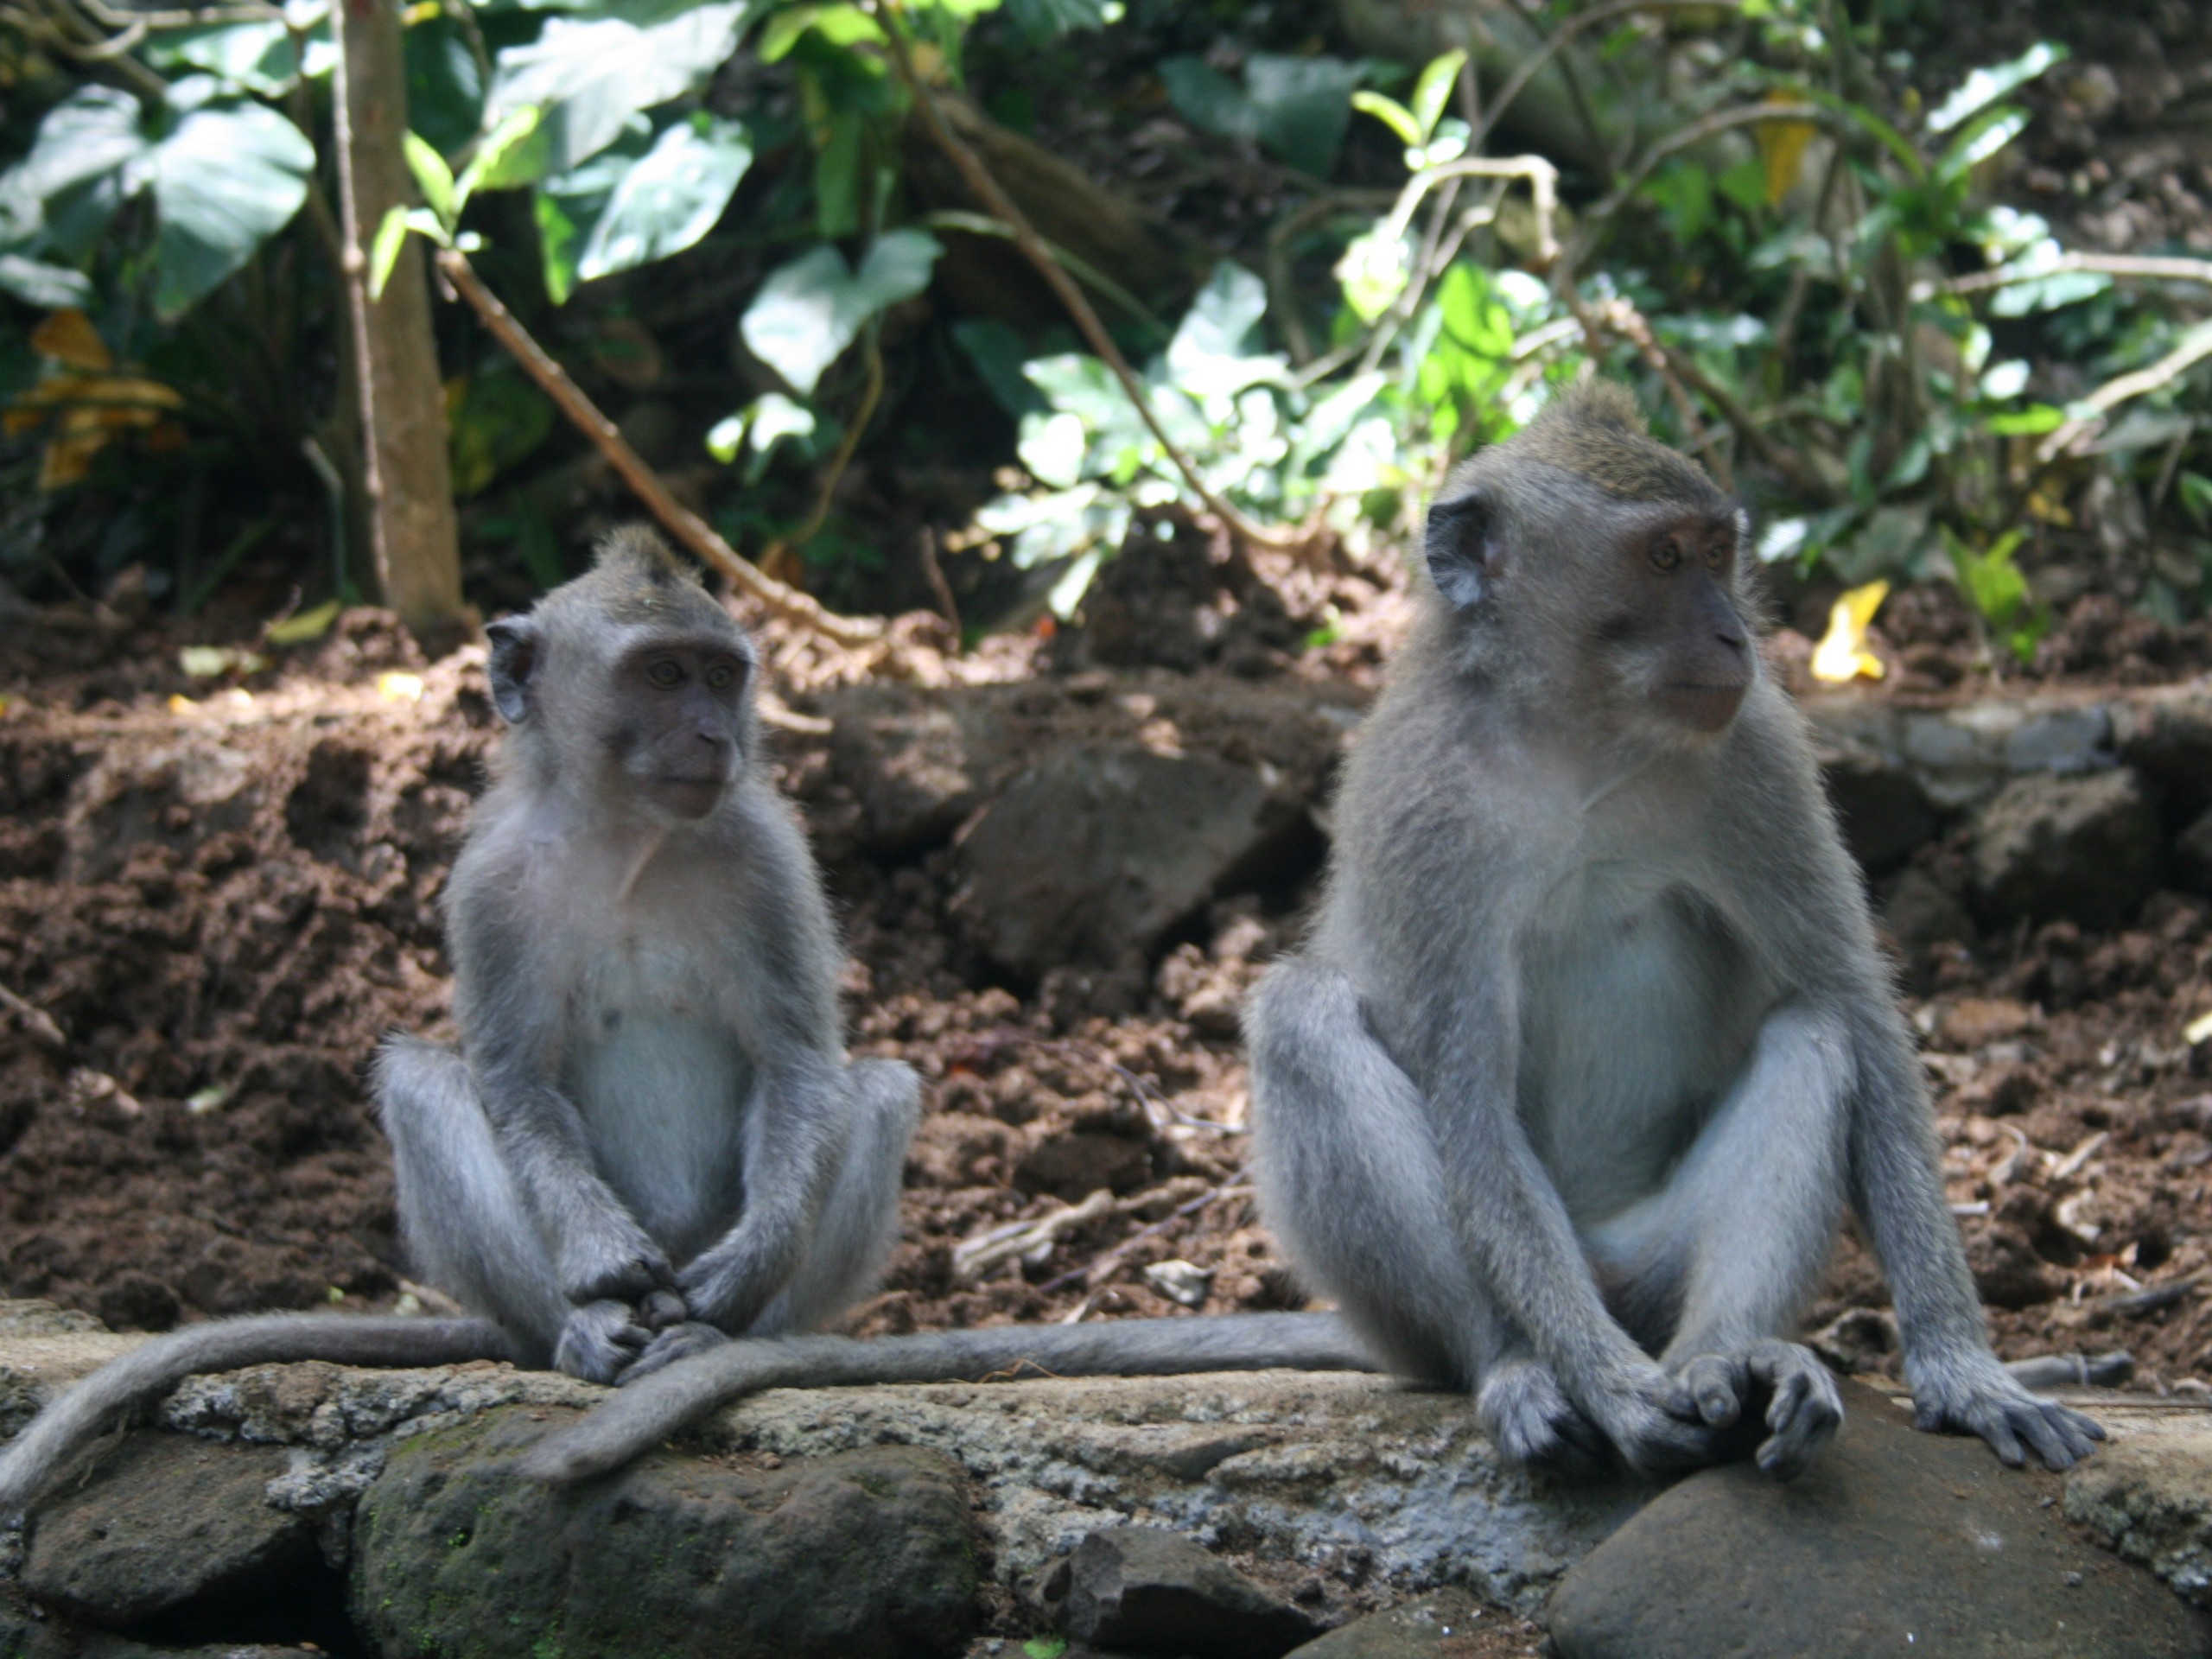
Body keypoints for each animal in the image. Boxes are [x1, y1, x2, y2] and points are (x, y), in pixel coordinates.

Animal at [0, 532, 925, 1522]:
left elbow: (796, 1063)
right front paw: (599, 1259)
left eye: (721, 676)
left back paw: (717, 1339)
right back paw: (583, 1331)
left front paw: (747, 1267)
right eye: (665, 673)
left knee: (876, 1090)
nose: (716, 735)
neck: (627, 839)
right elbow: (515, 1078)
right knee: (423, 1080)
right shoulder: (487, 885)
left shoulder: (770, 861)